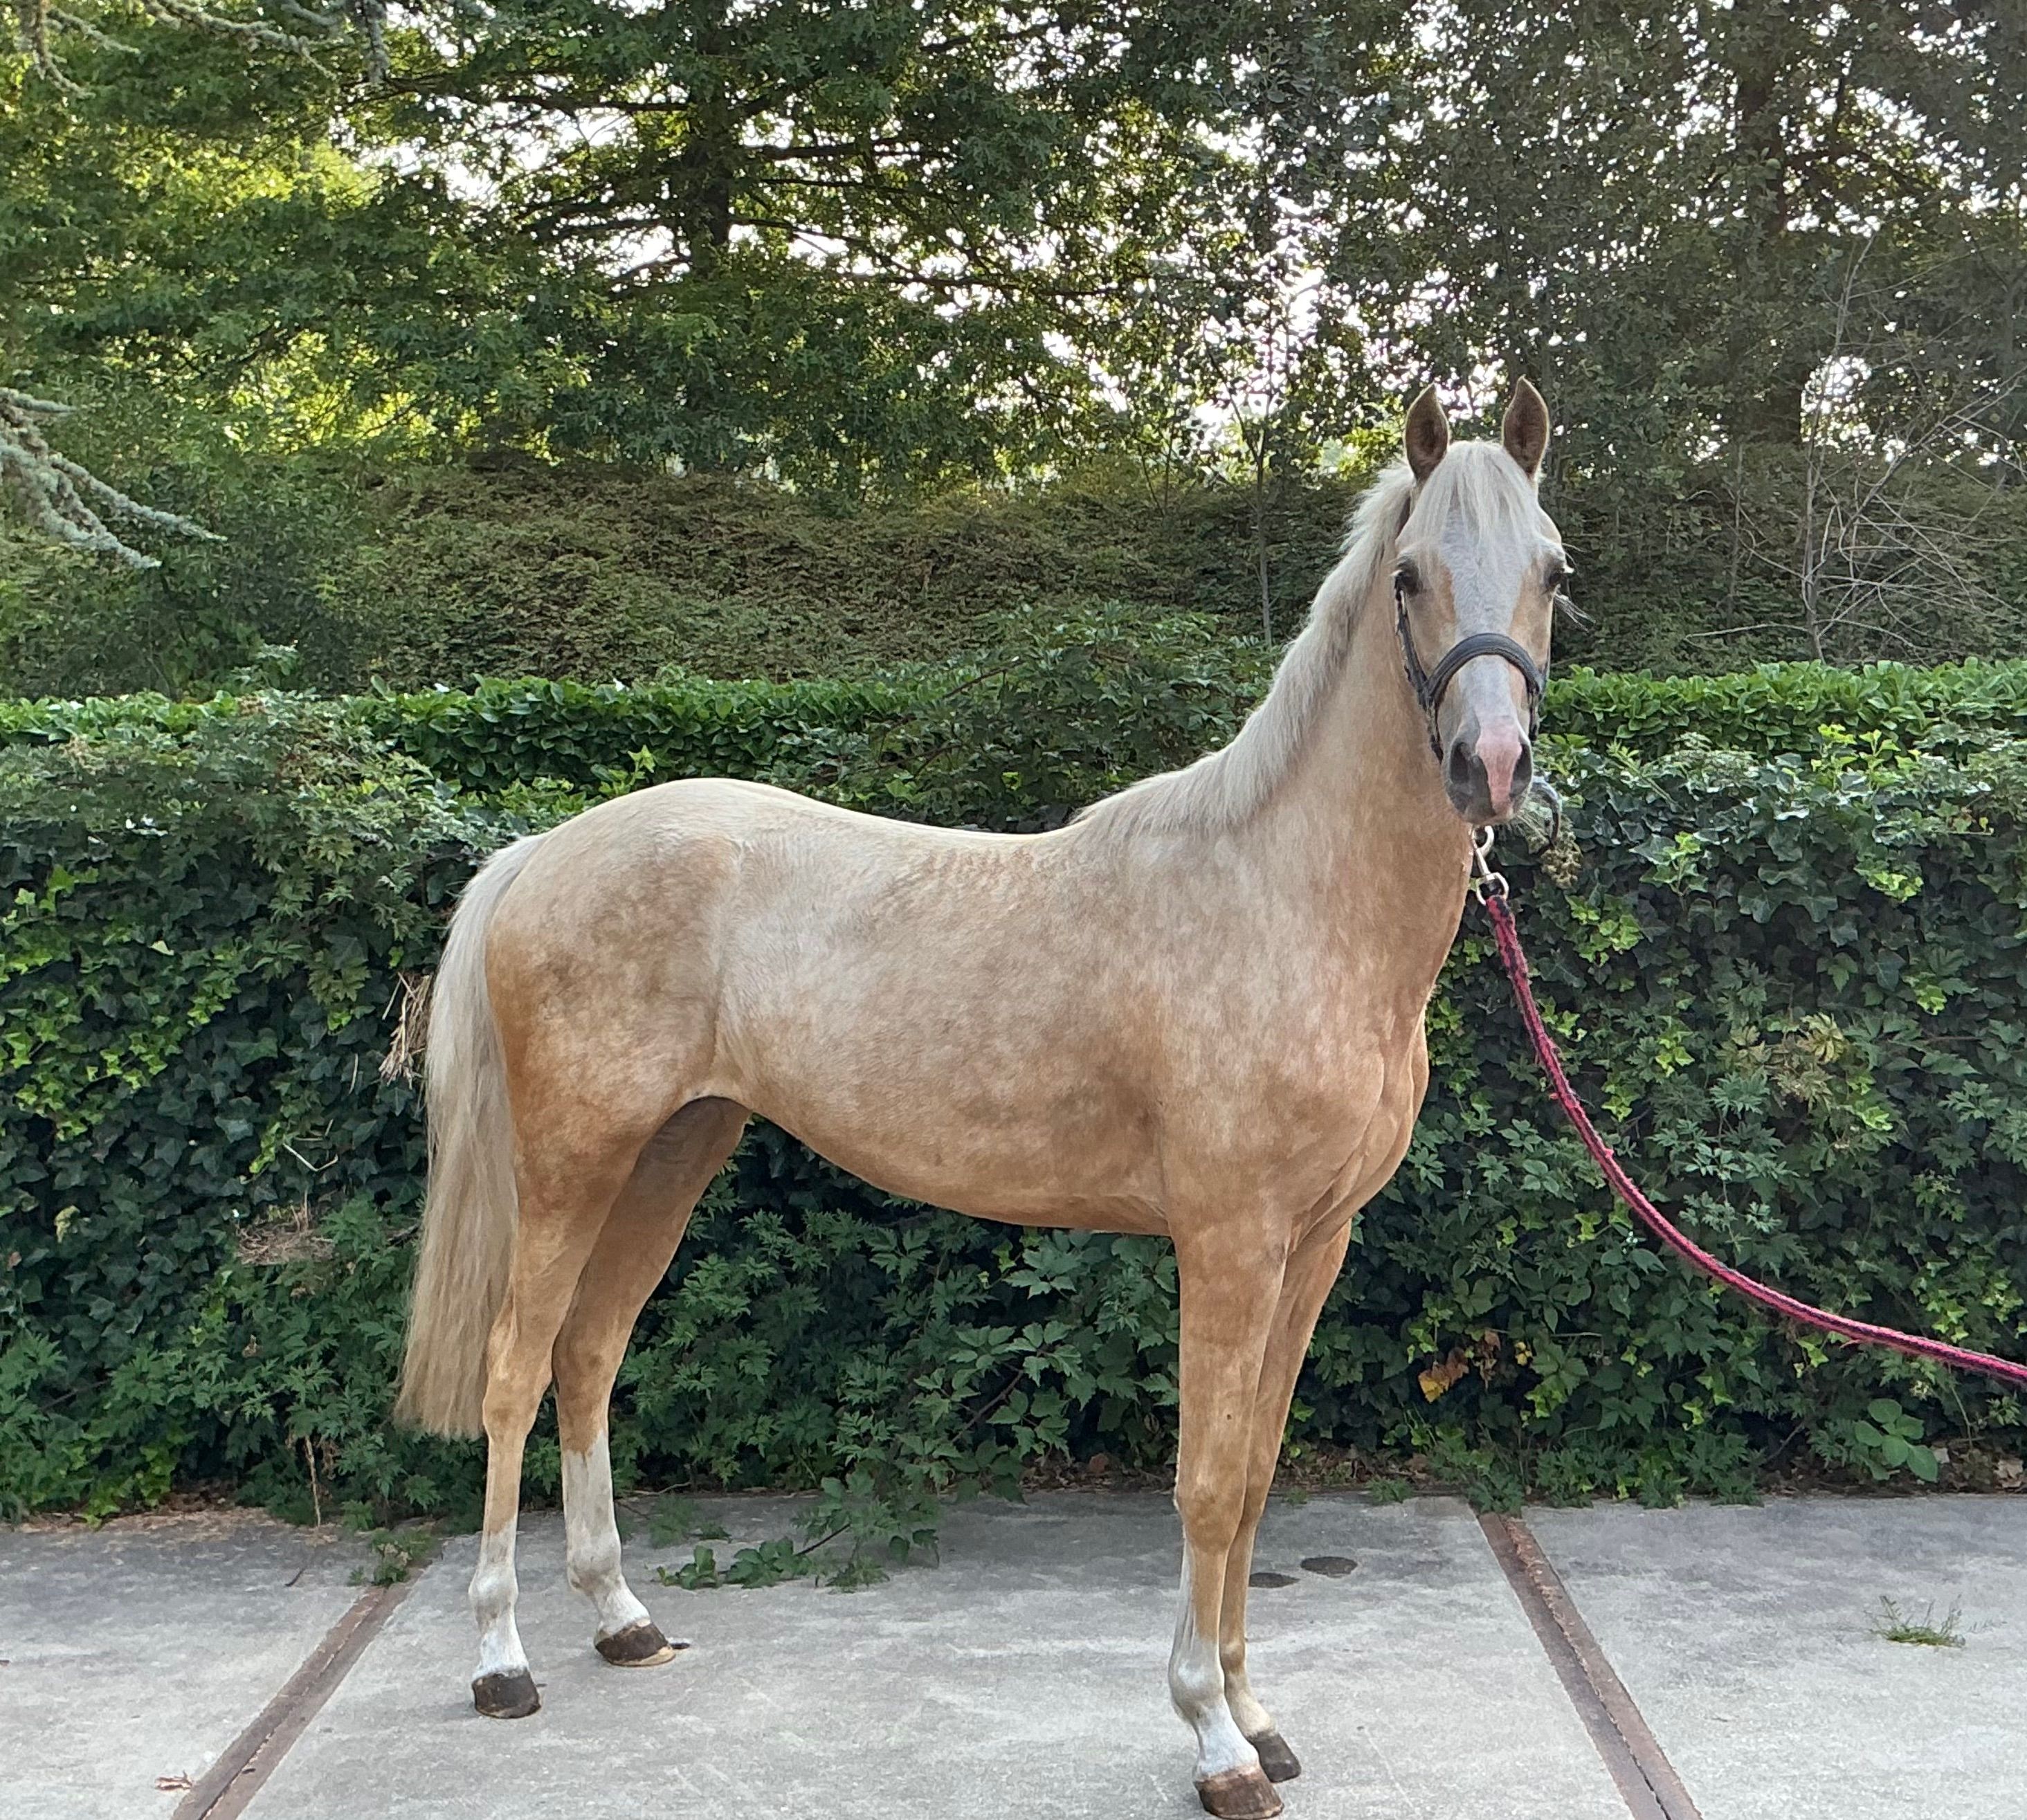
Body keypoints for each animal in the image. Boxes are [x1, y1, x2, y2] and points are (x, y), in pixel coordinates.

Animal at [396, 381, 1564, 1820]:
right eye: (1407, 575)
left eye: (1552, 572)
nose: (1487, 765)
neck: (1283, 898)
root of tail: (544, 851)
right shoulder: (1227, 1244)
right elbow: (1206, 1484)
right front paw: (1213, 1740)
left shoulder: (1314, 1244)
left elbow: (1254, 1477)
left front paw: (1257, 1715)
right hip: (576, 1161)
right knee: (513, 1371)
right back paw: (503, 1660)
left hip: (675, 1150)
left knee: (588, 1357)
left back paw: (621, 1619)